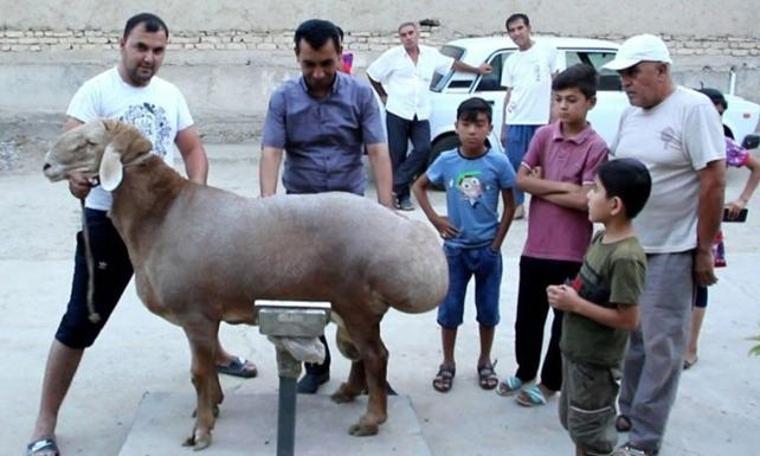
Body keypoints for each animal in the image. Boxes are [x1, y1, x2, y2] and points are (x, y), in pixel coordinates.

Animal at [41, 119, 448, 450]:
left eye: (90, 142)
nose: (46, 164)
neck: (162, 215)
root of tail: (402, 229)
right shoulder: (204, 316)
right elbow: (205, 370)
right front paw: (212, 407)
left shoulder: (195, 312)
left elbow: (198, 372)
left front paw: (201, 432)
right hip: (351, 308)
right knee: (361, 354)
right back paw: (348, 392)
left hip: (357, 303)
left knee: (377, 355)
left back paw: (370, 420)